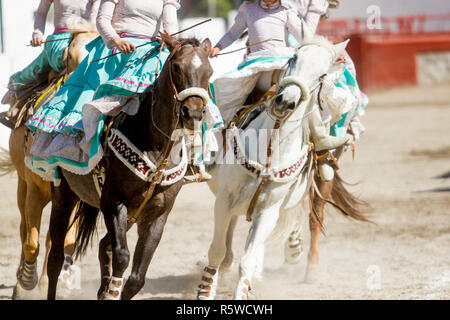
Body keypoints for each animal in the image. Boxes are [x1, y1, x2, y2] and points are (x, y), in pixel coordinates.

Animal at [0, 28, 98, 298]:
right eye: (69, 58)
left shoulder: (76, 199)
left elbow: (64, 242)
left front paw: (48, 282)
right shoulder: (34, 190)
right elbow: (30, 240)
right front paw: (25, 284)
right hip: (22, 186)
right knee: (24, 229)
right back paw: (22, 278)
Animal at [196, 31, 348, 298]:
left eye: (322, 75)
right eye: (294, 58)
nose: (285, 102)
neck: (269, 150)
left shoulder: (268, 210)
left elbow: (247, 259)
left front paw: (243, 289)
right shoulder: (224, 199)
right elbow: (216, 250)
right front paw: (206, 289)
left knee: (312, 219)